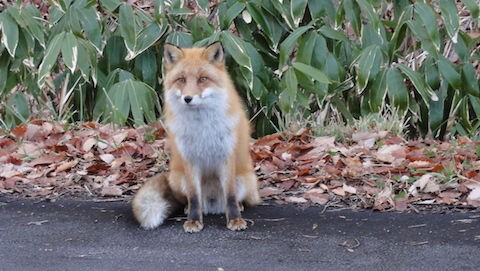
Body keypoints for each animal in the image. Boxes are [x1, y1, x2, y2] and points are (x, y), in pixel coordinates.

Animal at [131, 42, 260, 234]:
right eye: (182, 79)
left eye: (202, 79)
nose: (188, 98)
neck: (202, 129)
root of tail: (213, 206)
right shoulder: (190, 158)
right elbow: (193, 197)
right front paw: (193, 221)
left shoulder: (226, 156)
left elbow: (230, 195)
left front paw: (235, 220)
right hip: (178, 179)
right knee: (189, 199)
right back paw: (187, 209)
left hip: (245, 180)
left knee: (236, 198)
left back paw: (240, 206)